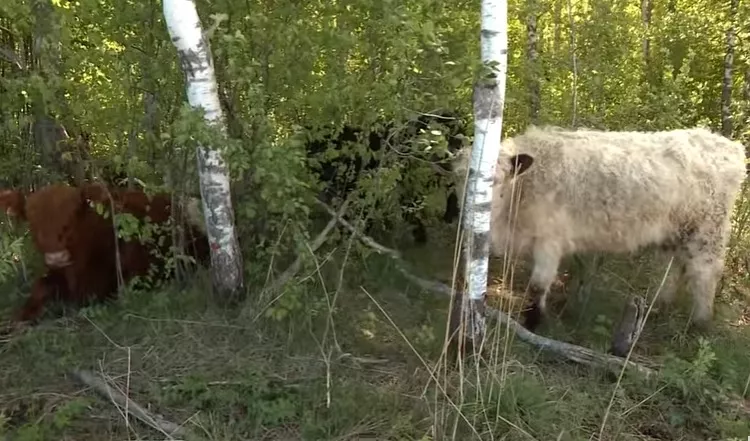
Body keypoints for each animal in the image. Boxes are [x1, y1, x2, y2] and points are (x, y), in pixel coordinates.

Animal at [453, 125, 747, 332]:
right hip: (673, 231)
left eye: (494, 180)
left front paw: (533, 322)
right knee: (671, 268)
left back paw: (700, 322)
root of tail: (728, 147)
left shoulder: (550, 240)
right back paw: (658, 307)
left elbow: (538, 285)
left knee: (705, 272)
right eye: (460, 176)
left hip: (709, 229)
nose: (470, 209)